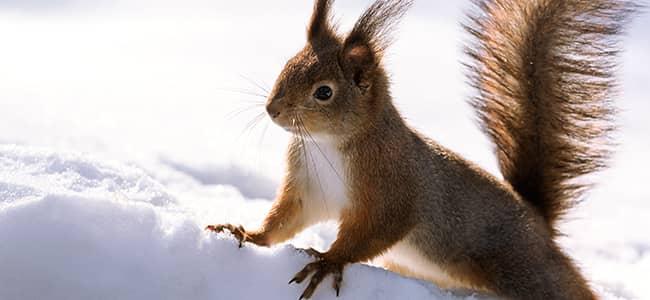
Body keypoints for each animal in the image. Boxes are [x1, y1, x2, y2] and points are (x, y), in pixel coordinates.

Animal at [206, 0, 632, 298]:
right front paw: (246, 234)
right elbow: (284, 220)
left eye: (324, 92)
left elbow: (376, 231)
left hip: (524, 270)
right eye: (287, 65)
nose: (272, 109)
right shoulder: (309, 187)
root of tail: (538, 222)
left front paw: (328, 261)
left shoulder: (393, 187)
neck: (328, 144)